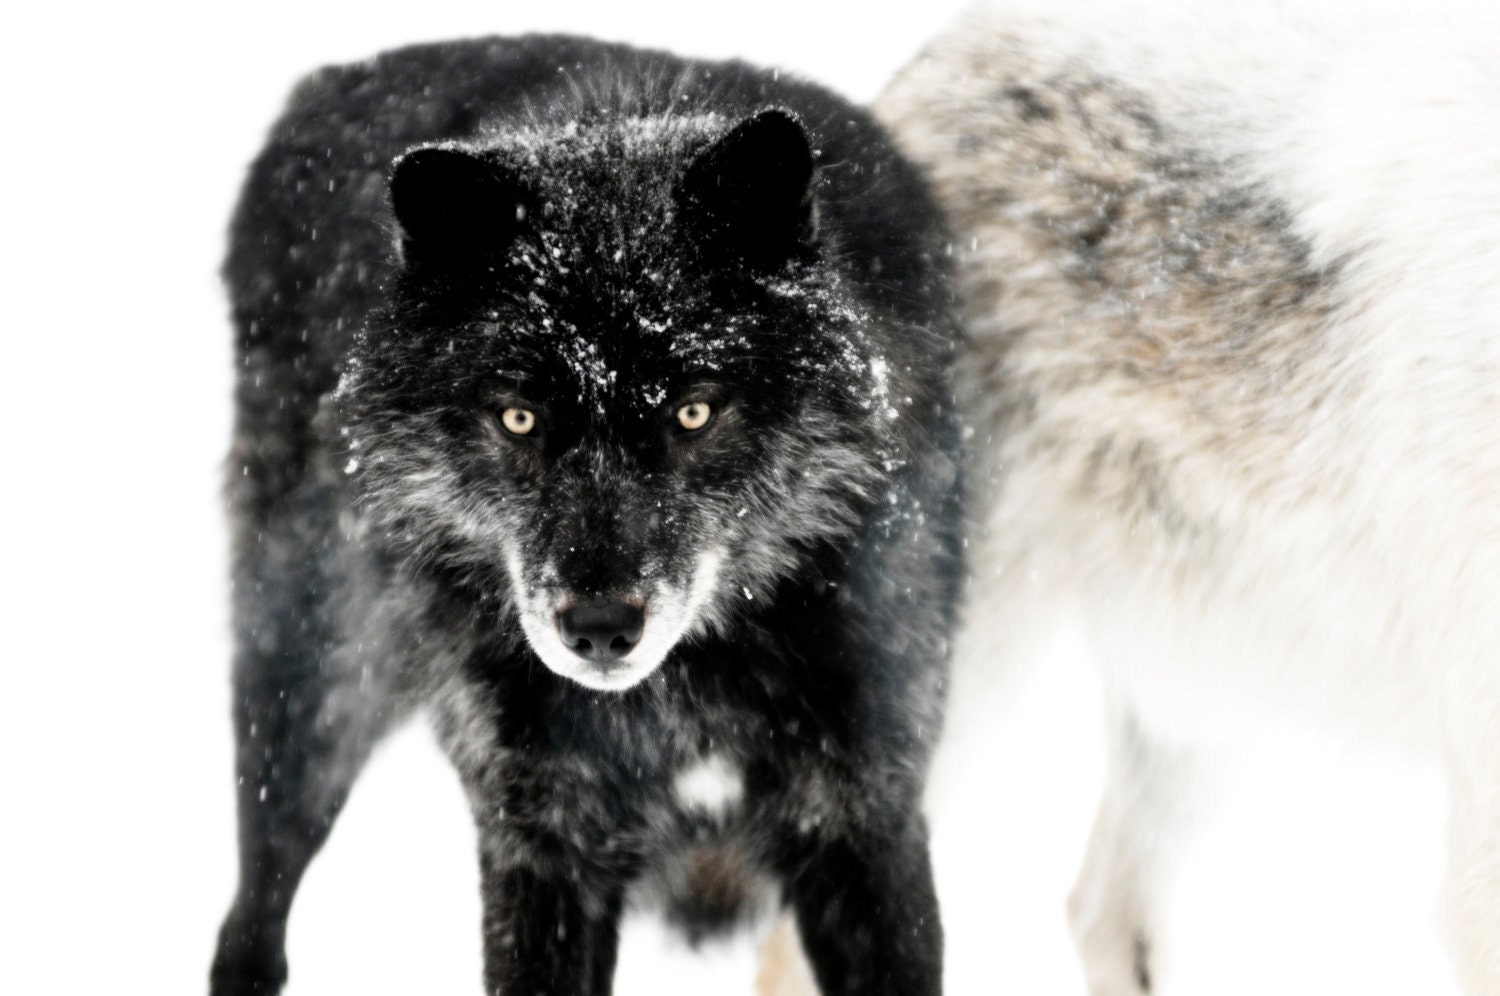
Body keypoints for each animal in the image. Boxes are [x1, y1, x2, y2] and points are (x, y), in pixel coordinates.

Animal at [208, 34, 963, 996]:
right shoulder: (542, 846)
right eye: (520, 418)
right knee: (254, 910)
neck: (688, 689)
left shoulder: (869, 830)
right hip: (310, 689)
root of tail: (326, 82)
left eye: (692, 411)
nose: (599, 628)